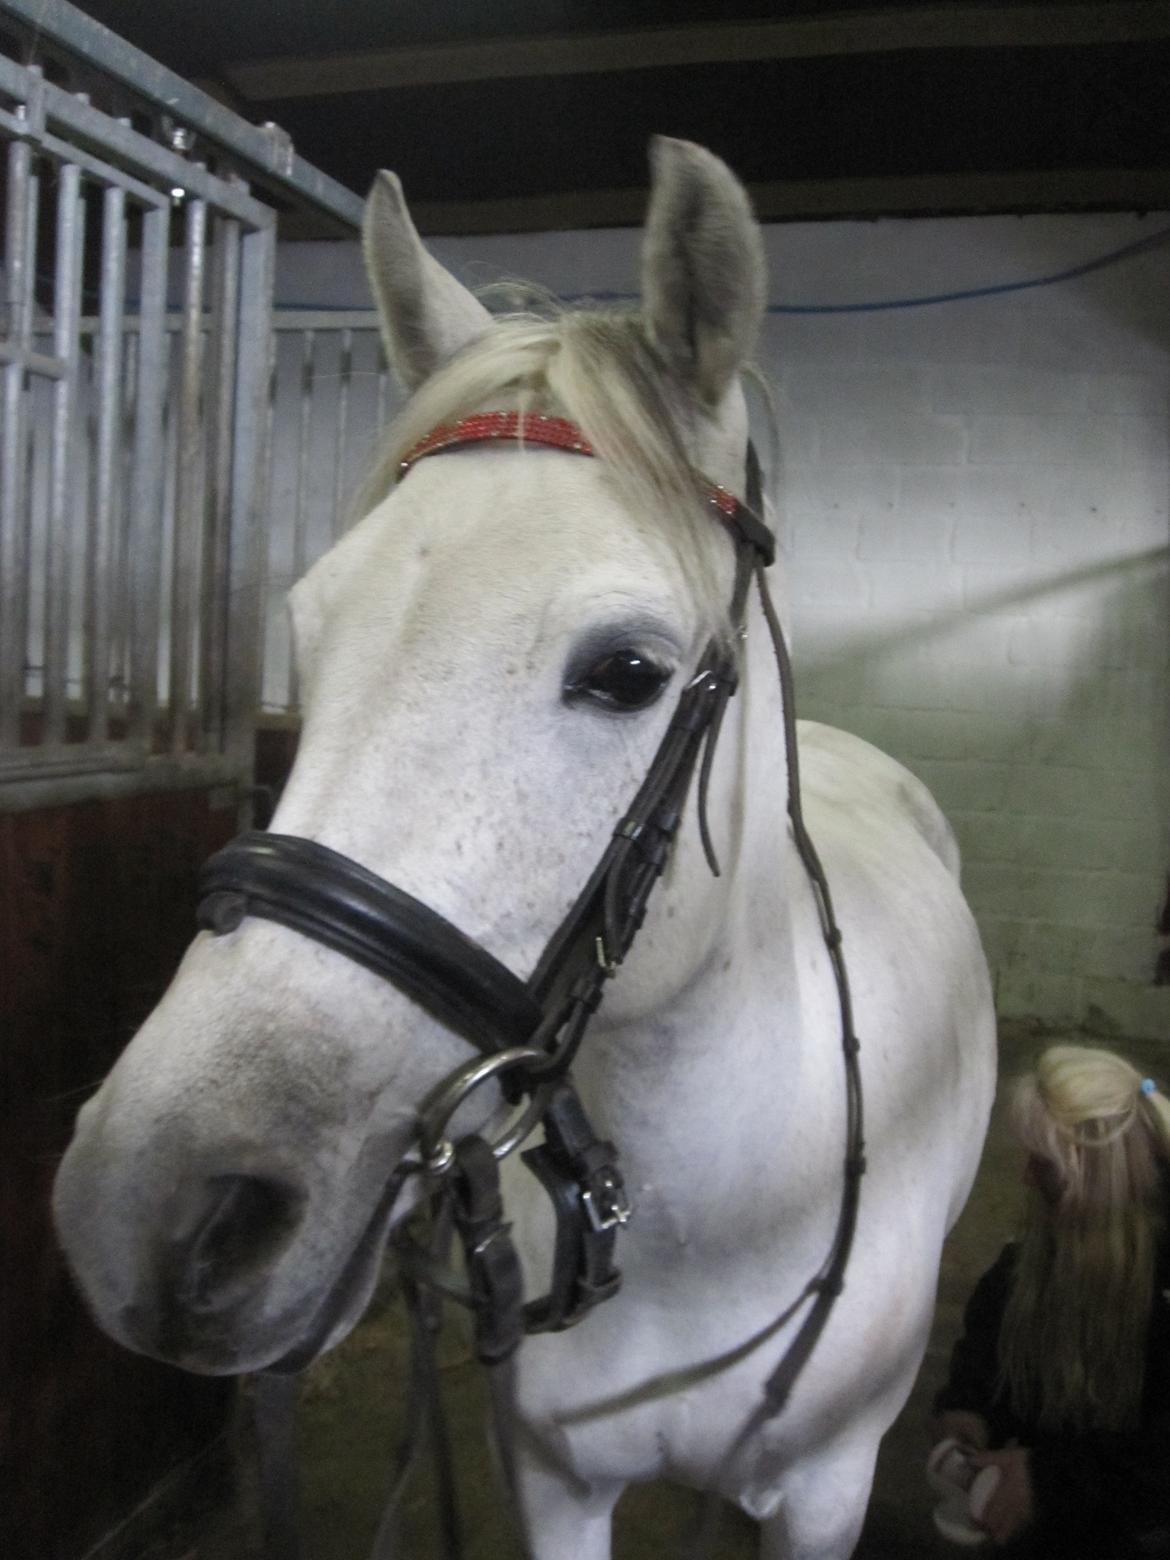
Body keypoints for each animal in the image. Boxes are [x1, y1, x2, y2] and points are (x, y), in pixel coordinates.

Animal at [53, 138, 995, 1559]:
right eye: (310, 627)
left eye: (627, 672)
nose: (153, 1214)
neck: (705, 1218)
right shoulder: (551, 1485)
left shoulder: (826, 1498)